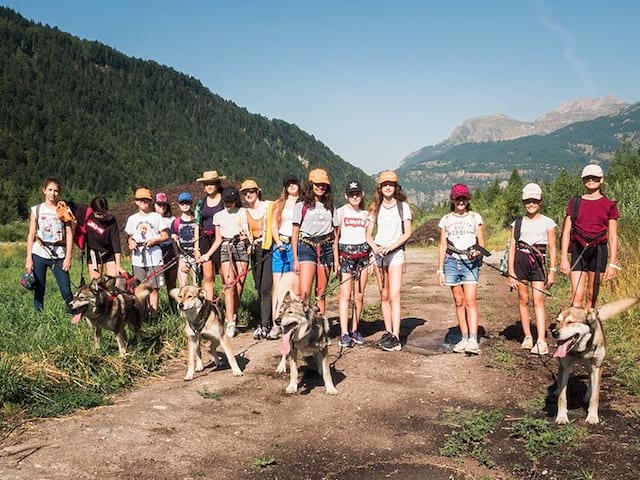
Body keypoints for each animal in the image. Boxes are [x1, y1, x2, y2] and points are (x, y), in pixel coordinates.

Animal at [552, 298, 636, 426]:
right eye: (558, 321)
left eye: (570, 322)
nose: (554, 333)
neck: (581, 350)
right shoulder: (565, 367)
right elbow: (562, 397)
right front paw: (562, 416)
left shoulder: (597, 367)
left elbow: (595, 397)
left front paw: (592, 416)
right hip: (564, 365)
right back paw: (557, 390)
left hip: (591, 366)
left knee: (591, 380)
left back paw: (587, 395)